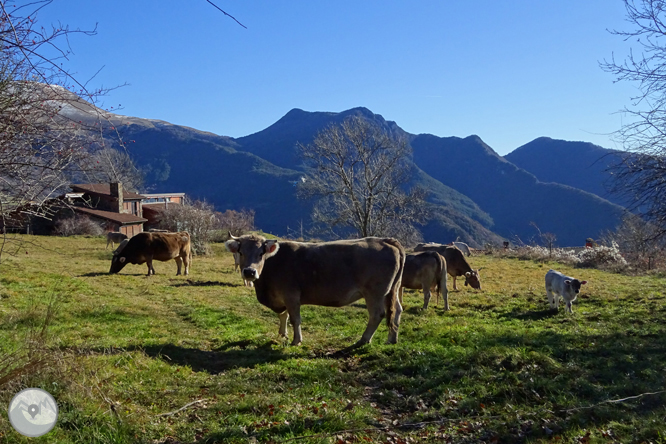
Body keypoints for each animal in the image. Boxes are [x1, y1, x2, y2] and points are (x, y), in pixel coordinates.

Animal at [224, 234, 404, 346]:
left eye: (261, 253)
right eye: (240, 252)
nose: (249, 272)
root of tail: (385, 240)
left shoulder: (291, 296)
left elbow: (295, 319)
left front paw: (296, 340)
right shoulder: (283, 298)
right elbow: (283, 315)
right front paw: (282, 334)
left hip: (375, 293)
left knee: (377, 314)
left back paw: (363, 339)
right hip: (393, 290)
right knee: (396, 310)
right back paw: (391, 339)